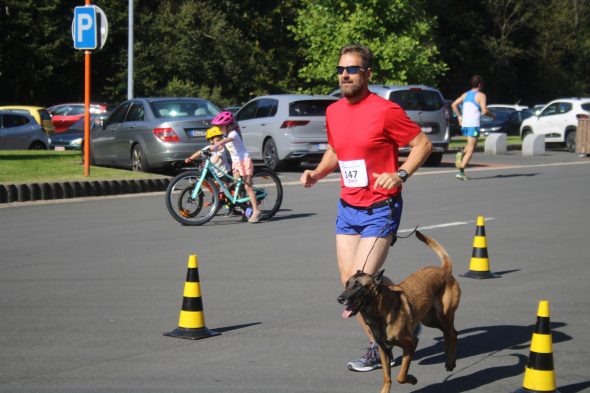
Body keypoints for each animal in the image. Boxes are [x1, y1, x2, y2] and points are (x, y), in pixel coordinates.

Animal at [338, 230, 462, 392]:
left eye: (358, 286)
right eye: (347, 284)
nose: (339, 299)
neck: (380, 313)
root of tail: (444, 270)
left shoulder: (410, 344)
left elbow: (400, 376)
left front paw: (412, 379)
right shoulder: (384, 349)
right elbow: (387, 378)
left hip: (445, 315)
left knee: (453, 333)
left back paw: (450, 361)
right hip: (430, 319)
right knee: (448, 333)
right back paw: (447, 356)